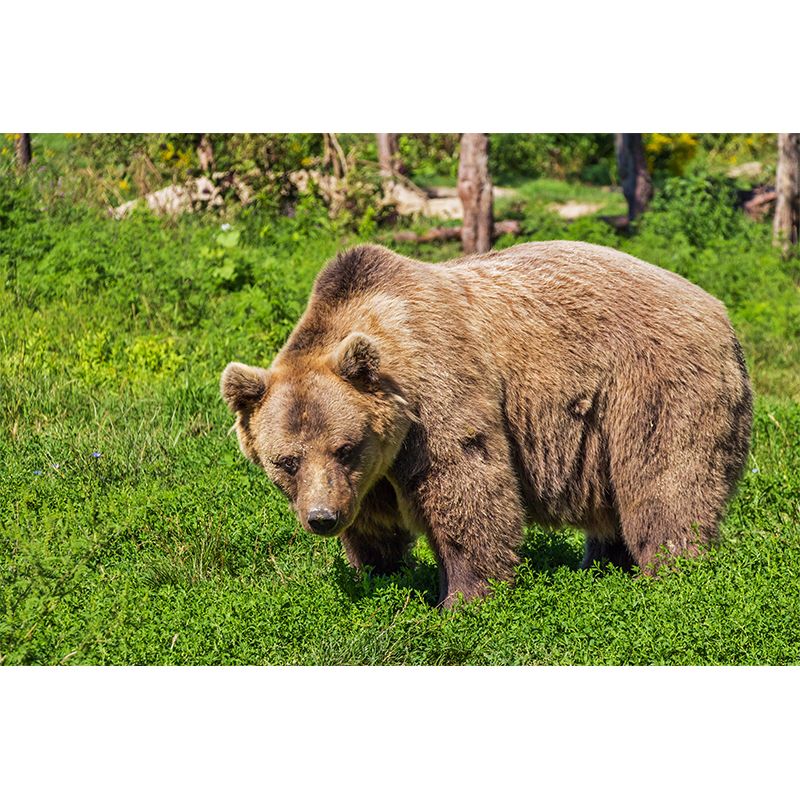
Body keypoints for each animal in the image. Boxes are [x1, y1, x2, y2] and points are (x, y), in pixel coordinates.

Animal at [221, 241, 752, 608]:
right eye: (286, 461)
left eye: (344, 447)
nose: (322, 518)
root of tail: (719, 310)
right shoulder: (370, 474)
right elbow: (374, 525)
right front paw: (379, 574)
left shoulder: (438, 397)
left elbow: (467, 488)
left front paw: (463, 598)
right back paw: (602, 565)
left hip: (654, 385)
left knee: (665, 482)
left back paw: (671, 573)